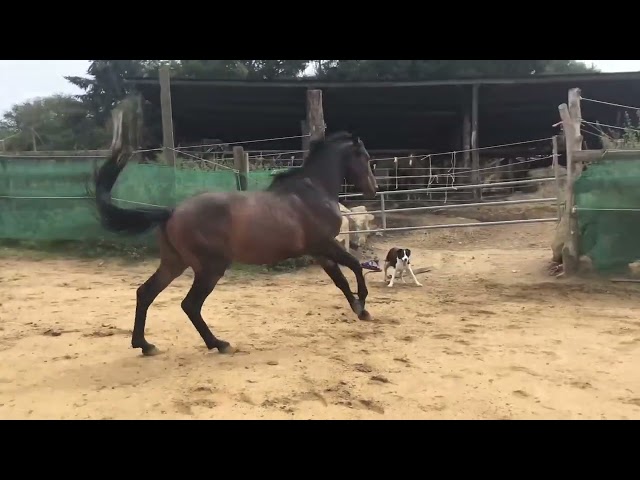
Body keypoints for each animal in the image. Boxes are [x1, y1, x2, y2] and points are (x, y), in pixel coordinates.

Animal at [94, 131, 378, 357]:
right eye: (364, 157)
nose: (373, 190)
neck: (312, 192)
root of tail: (172, 212)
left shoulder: (319, 252)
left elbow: (340, 280)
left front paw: (359, 310)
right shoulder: (324, 244)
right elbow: (355, 265)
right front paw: (362, 304)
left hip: (174, 263)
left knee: (146, 293)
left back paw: (145, 345)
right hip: (210, 268)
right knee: (190, 305)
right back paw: (219, 344)